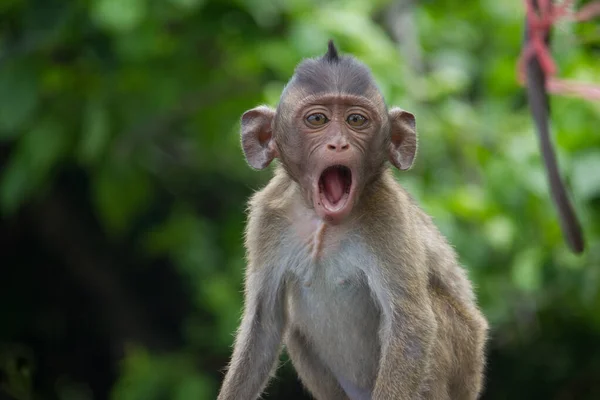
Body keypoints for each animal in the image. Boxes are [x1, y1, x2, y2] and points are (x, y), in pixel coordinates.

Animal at [218, 41, 490, 400]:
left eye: (356, 120)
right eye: (317, 119)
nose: (339, 143)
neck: (323, 223)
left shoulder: (388, 213)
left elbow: (412, 324)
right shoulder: (267, 217)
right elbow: (264, 324)